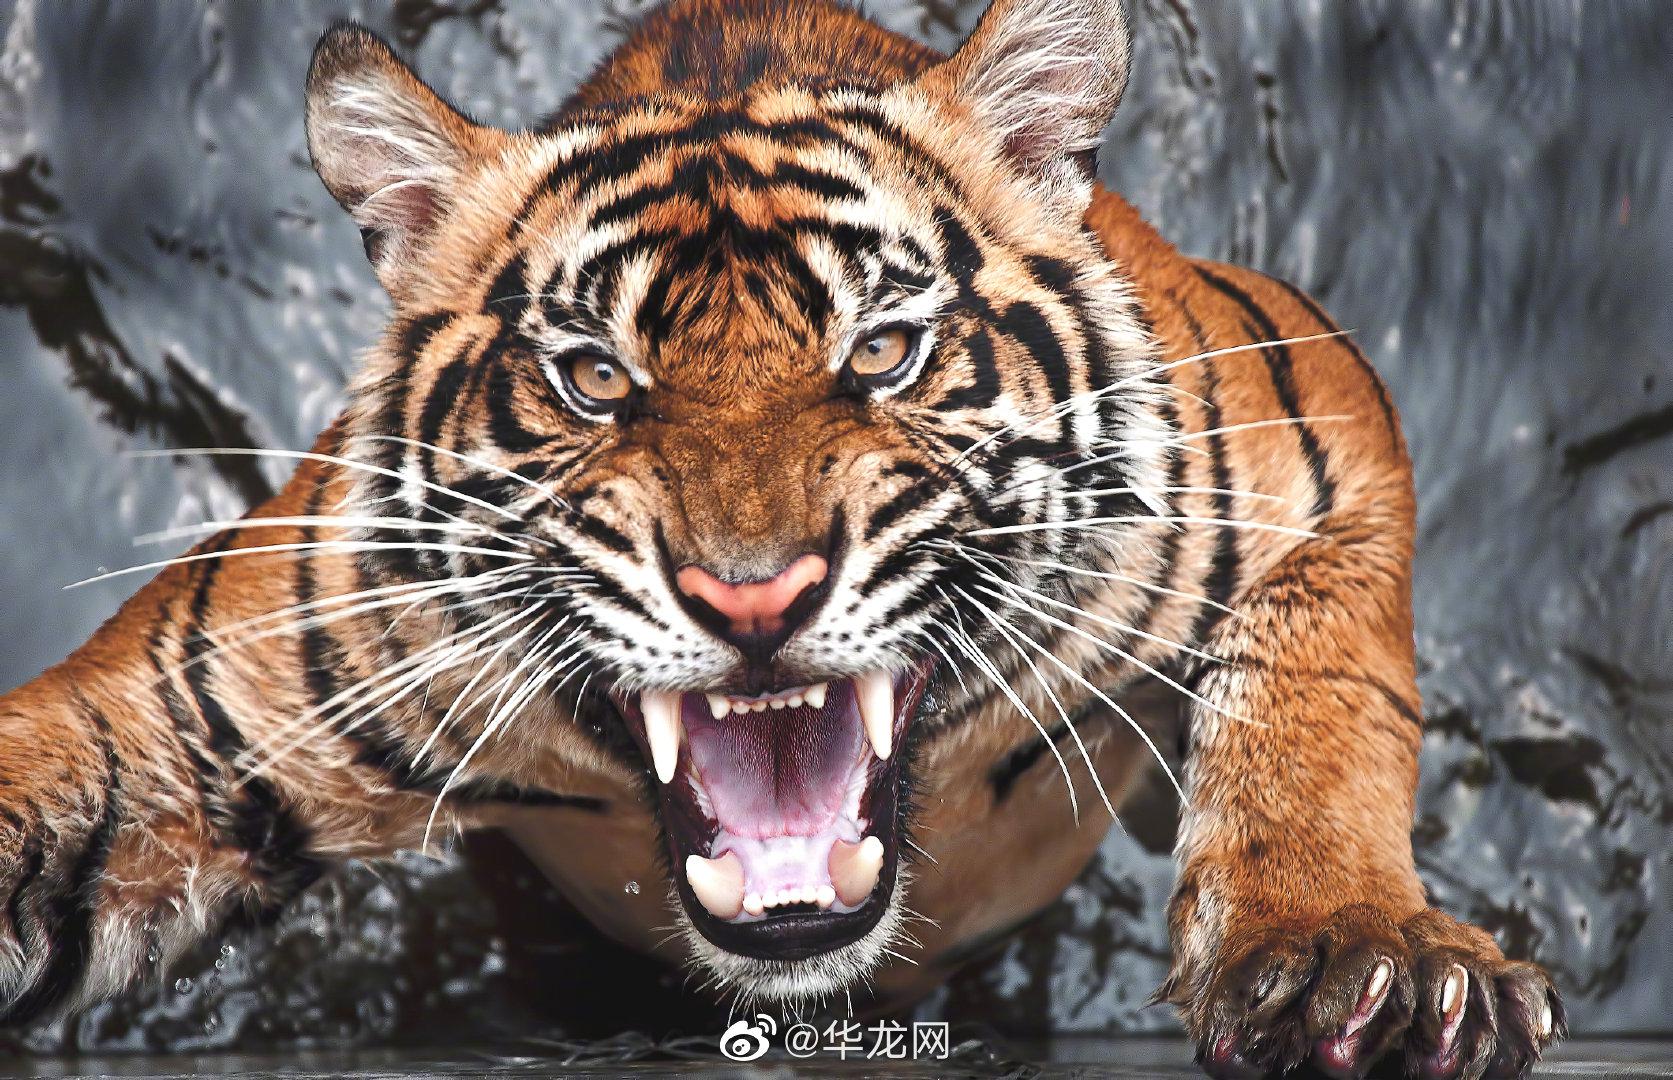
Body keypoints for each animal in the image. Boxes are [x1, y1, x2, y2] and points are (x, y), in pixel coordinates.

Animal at [0, 0, 1565, 1075]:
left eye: (880, 352)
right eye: (595, 377)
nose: (752, 598)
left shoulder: (1311, 422)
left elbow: (1321, 700)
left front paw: (1353, 955)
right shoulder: (191, 711)